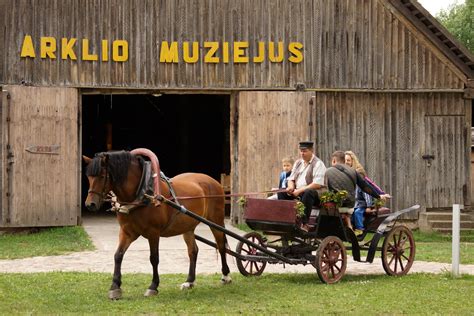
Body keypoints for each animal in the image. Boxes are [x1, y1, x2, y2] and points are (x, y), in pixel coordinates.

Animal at [83, 150, 231, 298]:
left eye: (102, 176)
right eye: (89, 177)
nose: (90, 204)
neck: (142, 194)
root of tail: (214, 181)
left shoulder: (153, 233)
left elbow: (154, 258)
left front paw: (153, 286)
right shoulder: (126, 232)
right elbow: (118, 255)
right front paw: (115, 287)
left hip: (215, 221)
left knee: (221, 246)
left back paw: (225, 276)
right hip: (187, 227)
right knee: (193, 251)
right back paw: (189, 281)